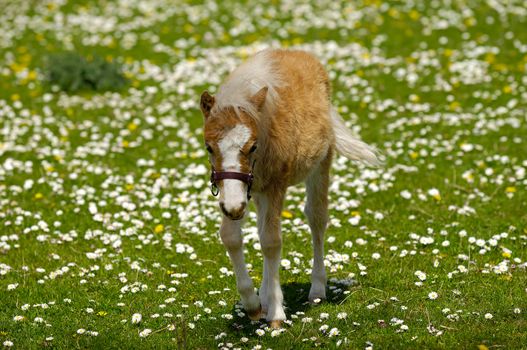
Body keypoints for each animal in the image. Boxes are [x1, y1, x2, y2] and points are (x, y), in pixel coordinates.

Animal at [199, 49, 380, 328]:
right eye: (209, 147)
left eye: (252, 146)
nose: (234, 207)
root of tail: (299, 52)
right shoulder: (241, 193)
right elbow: (231, 236)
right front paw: (253, 305)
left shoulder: (275, 187)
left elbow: (272, 241)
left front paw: (276, 314)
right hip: (257, 193)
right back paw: (264, 296)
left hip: (320, 164)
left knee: (316, 218)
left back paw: (317, 290)